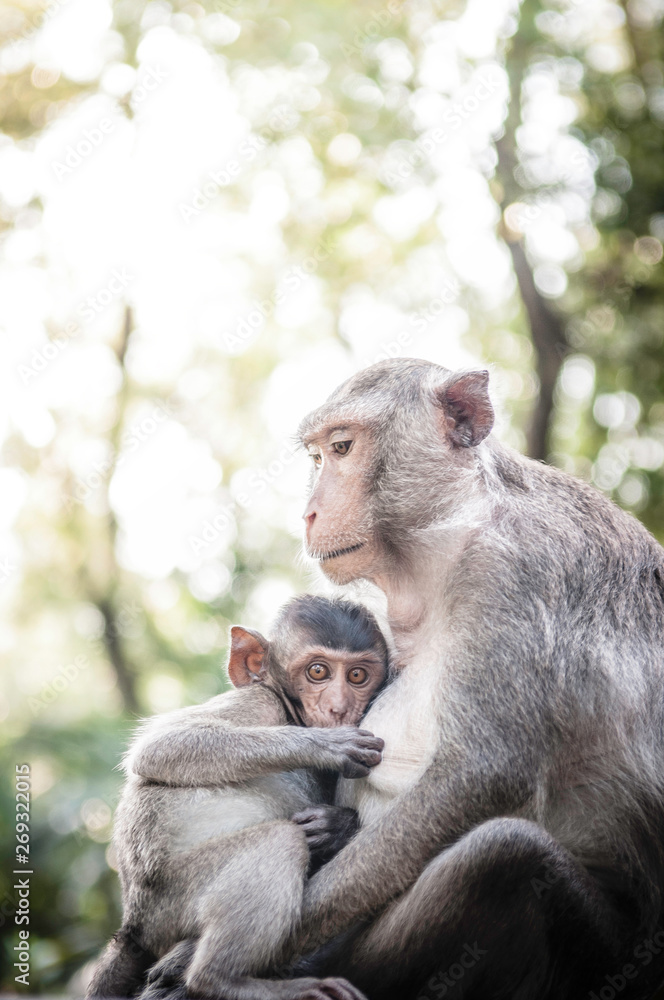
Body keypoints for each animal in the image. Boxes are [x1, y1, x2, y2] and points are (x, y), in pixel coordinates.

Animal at [88, 592, 390, 1000]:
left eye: (357, 676)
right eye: (318, 672)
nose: (339, 708)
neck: (289, 712)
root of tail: (134, 926)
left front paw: (335, 826)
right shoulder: (258, 704)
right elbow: (162, 747)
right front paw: (326, 746)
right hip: (174, 898)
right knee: (279, 840)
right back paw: (222, 980)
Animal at [148, 360, 664, 1000]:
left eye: (343, 448)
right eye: (317, 456)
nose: (309, 512)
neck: (453, 534)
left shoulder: (512, 570)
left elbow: (479, 775)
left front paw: (192, 961)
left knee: (504, 856)